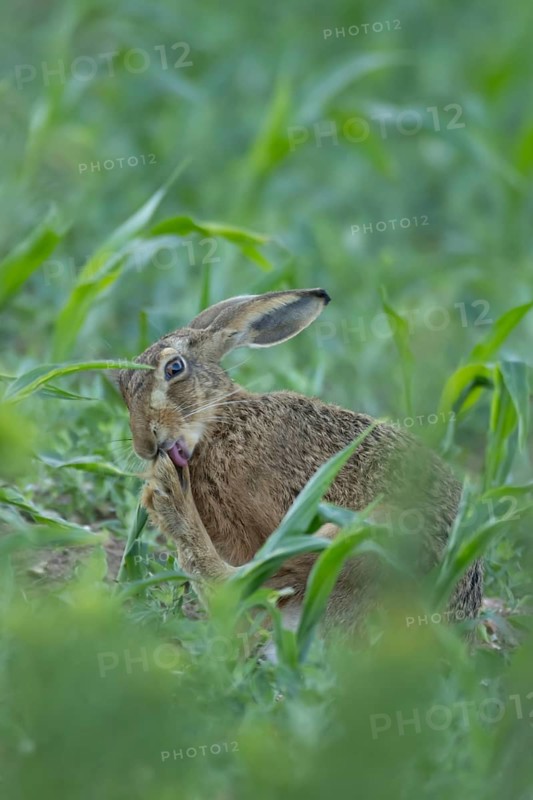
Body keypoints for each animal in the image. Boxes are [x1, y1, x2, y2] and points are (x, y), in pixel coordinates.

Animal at [118, 288, 483, 636]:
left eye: (174, 368)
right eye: (121, 384)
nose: (145, 445)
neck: (219, 420)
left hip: (366, 533)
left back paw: (167, 498)